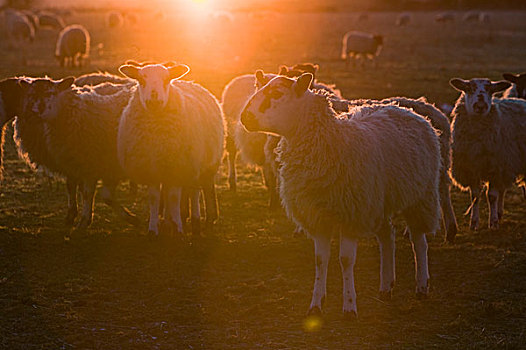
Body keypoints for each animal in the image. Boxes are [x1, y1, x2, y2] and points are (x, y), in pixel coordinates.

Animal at [17, 77, 139, 228]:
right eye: (31, 94)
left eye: (51, 93)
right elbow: (72, 187)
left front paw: (85, 220)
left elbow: (89, 193)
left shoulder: (93, 163)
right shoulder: (74, 163)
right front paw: (73, 217)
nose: (35, 111)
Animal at [117, 64, 225, 237]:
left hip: (201, 164)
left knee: (197, 192)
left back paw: (198, 221)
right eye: (141, 80)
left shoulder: (178, 167)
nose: (154, 101)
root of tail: (188, 82)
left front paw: (179, 230)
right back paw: (170, 222)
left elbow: (174, 197)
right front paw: (153, 230)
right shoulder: (152, 169)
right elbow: (155, 198)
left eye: (166, 80)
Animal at [241, 73, 444, 318]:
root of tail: (406, 109)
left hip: (420, 195)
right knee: (388, 237)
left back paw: (422, 286)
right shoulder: (318, 217)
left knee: (419, 241)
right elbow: (320, 261)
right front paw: (316, 304)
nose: (244, 117)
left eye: (277, 94)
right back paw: (386, 287)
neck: (330, 144)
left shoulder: (351, 214)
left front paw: (349, 307)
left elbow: (346, 260)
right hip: (379, 201)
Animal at [450, 77, 526, 230]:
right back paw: (500, 213)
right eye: (470, 88)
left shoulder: (496, 168)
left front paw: (493, 222)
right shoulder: (472, 169)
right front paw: (474, 223)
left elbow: (491, 196)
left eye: (490, 90)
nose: (480, 106)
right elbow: (475, 196)